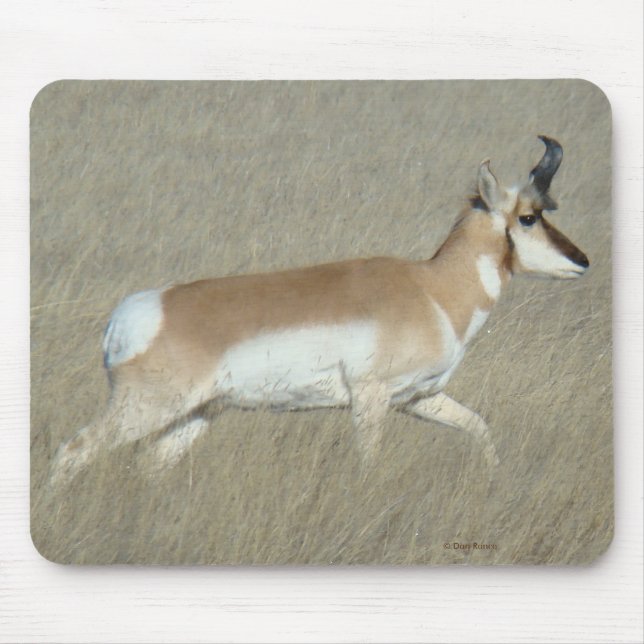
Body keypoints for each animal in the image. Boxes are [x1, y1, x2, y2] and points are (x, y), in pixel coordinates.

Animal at [49, 136, 589, 488]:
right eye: (528, 217)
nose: (582, 261)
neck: (431, 288)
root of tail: (131, 315)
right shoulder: (370, 399)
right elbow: (369, 466)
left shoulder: (420, 398)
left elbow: (480, 428)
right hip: (147, 409)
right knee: (72, 452)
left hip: (194, 416)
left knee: (147, 465)